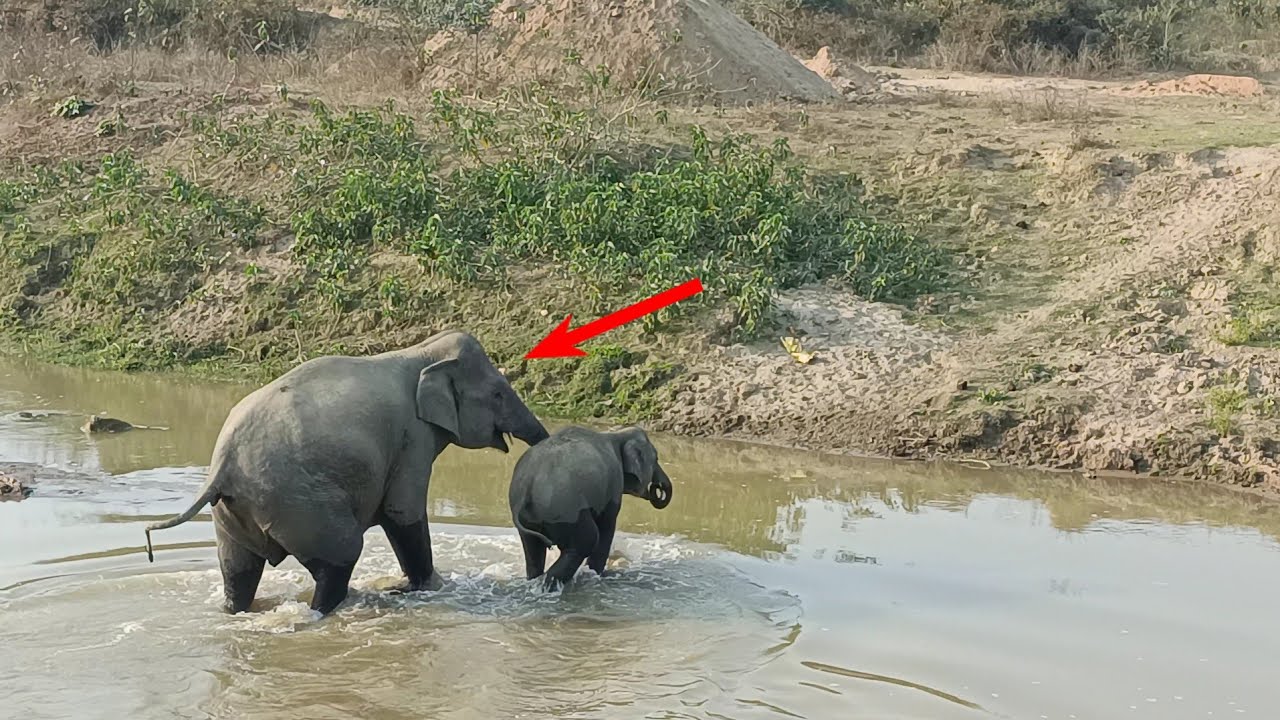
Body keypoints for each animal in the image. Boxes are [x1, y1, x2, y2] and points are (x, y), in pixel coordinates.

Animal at [144, 330, 549, 615]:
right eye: (498, 393)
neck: (420, 352)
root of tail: (223, 467)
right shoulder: (412, 439)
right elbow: (402, 512)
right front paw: (433, 587)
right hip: (300, 505)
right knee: (341, 556)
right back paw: (330, 607)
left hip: (233, 515)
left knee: (238, 572)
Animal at [508, 426, 673, 589]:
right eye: (656, 458)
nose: (658, 488)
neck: (617, 433)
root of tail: (526, 488)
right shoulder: (613, 482)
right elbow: (607, 525)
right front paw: (598, 574)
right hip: (564, 509)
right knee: (588, 539)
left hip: (533, 518)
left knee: (533, 550)